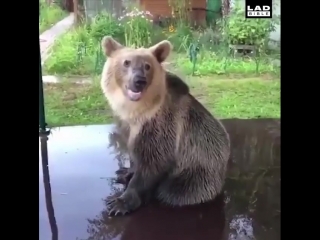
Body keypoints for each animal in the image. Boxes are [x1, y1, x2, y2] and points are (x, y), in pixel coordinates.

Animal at [100, 36, 230, 218]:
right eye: (126, 62)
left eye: (147, 66)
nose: (139, 81)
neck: (135, 111)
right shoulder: (126, 125)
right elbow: (134, 154)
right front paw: (125, 172)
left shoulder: (160, 126)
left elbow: (153, 162)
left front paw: (121, 202)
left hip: (196, 174)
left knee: (176, 190)